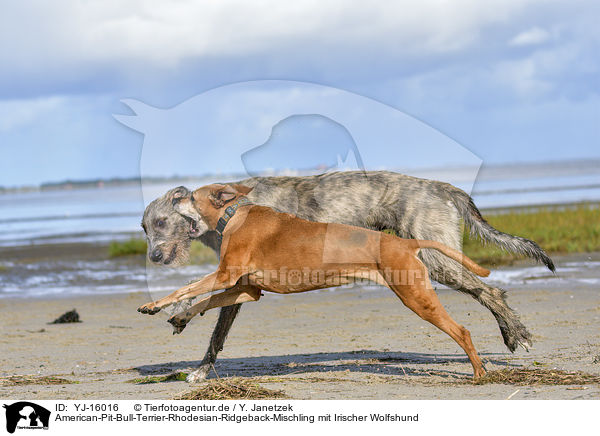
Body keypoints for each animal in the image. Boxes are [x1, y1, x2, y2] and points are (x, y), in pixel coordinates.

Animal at [141, 170, 552, 382]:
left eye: (179, 204)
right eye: (146, 227)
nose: (155, 255)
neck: (234, 214)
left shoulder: (228, 275)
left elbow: (188, 289)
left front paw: (158, 306)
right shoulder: (245, 289)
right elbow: (207, 307)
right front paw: (181, 320)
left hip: (425, 284)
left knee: (476, 313)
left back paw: (495, 357)